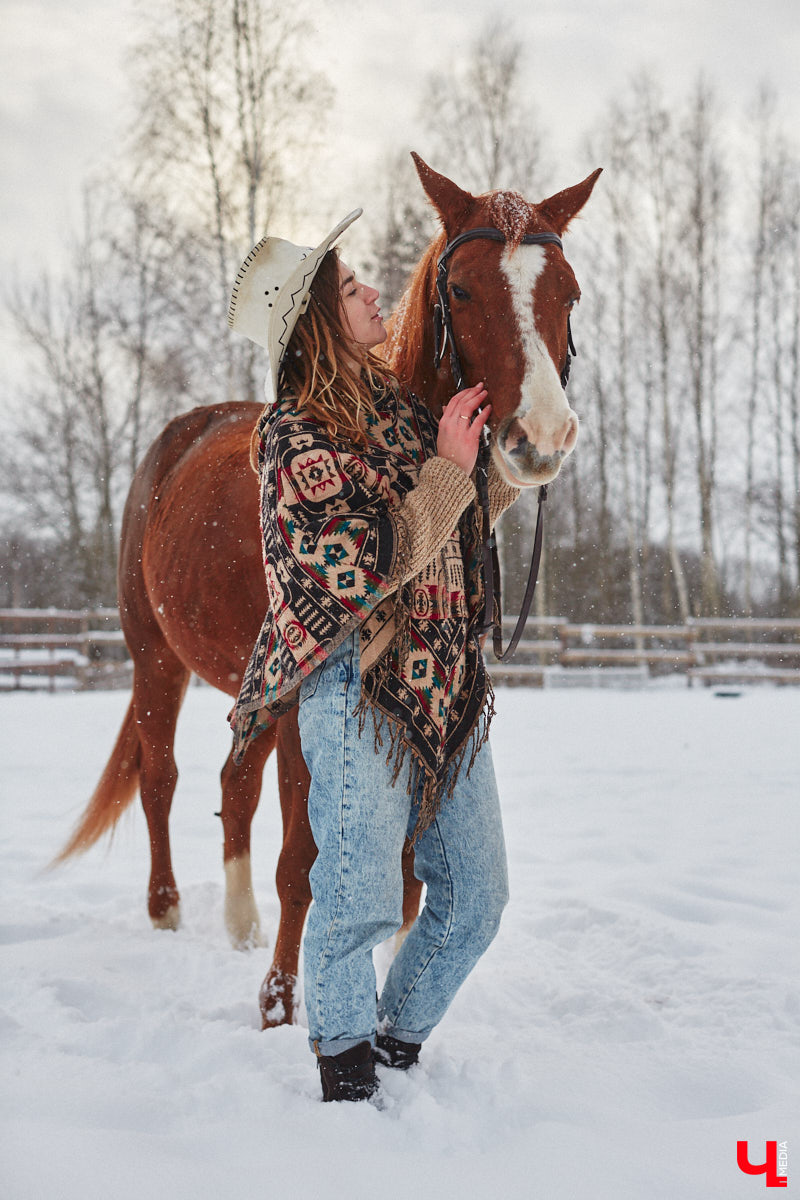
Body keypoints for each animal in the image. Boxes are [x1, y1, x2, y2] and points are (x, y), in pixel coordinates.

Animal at [53, 154, 597, 1027]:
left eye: (568, 292)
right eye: (463, 289)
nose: (539, 437)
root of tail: (179, 436)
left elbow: (402, 884)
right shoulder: (309, 696)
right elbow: (304, 863)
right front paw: (280, 1002)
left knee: (232, 785)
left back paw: (238, 924)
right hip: (156, 658)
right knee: (162, 778)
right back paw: (169, 910)